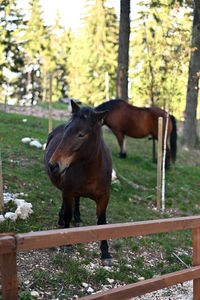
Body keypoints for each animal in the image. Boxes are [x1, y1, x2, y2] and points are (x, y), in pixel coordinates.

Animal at [44, 101, 112, 264]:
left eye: (81, 134)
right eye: (66, 130)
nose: (53, 165)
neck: (92, 171)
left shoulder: (104, 197)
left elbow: (102, 222)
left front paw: (105, 253)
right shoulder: (67, 191)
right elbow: (68, 214)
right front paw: (67, 244)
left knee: (77, 200)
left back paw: (77, 218)